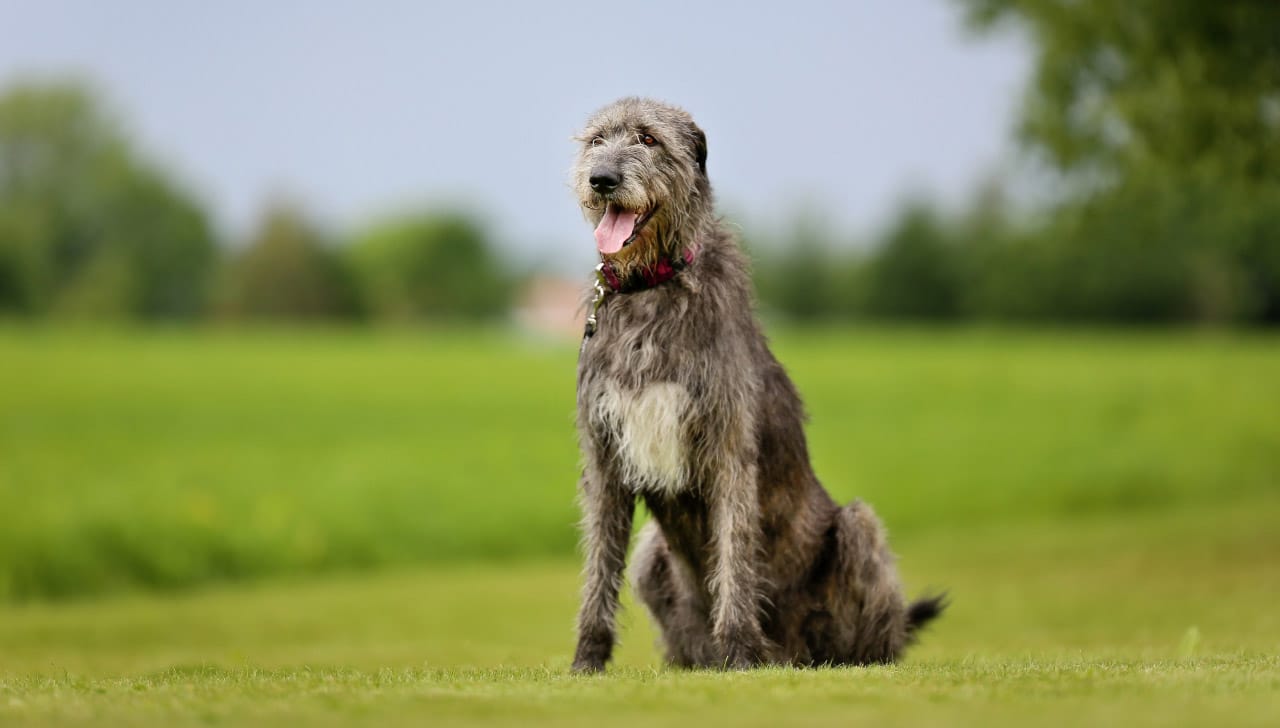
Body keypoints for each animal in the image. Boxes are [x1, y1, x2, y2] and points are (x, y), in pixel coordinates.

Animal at [570, 96, 942, 670]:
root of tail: (793, 652)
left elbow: (734, 553)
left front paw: (741, 651)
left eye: (648, 139)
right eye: (596, 141)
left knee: (872, 623)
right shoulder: (604, 453)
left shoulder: (728, 447)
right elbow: (598, 565)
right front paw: (586, 661)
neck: (651, 287)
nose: (602, 179)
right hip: (653, 554)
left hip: (857, 529)